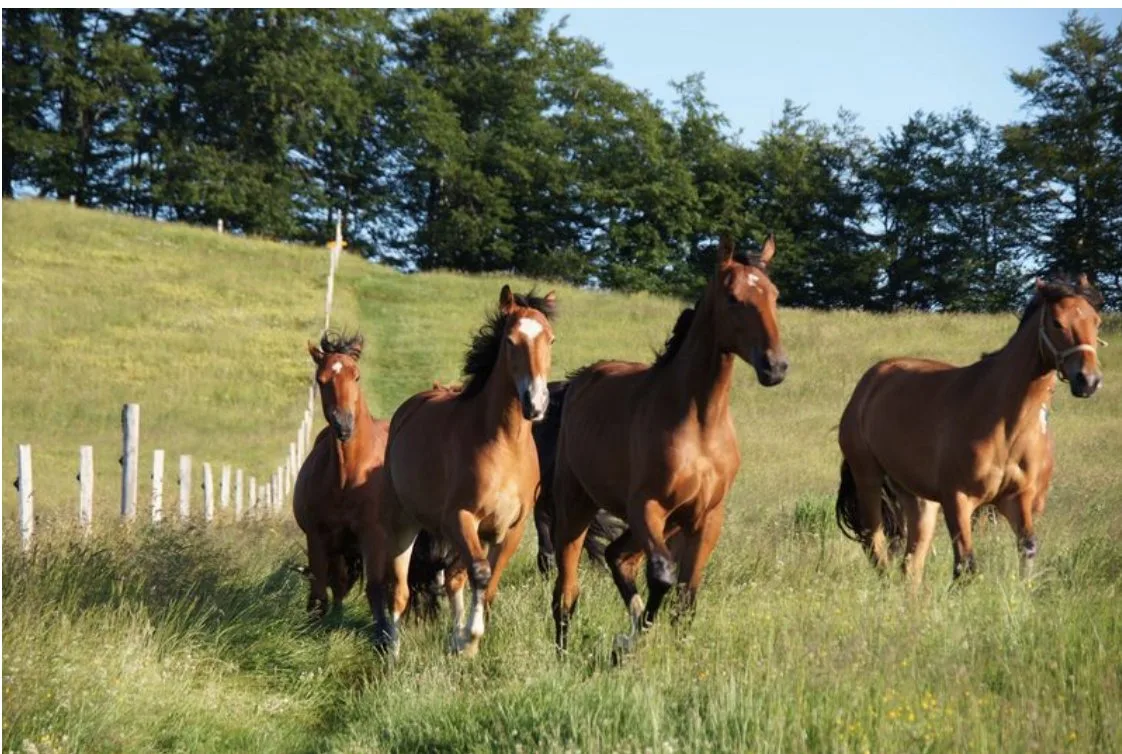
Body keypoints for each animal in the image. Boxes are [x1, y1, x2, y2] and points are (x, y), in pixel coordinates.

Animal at [365, 285, 556, 657]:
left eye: (551, 339)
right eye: (510, 341)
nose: (536, 403)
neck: (504, 444)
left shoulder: (510, 529)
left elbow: (488, 580)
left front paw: (463, 642)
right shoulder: (461, 518)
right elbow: (480, 574)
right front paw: (470, 640)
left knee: (453, 578)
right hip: (403, 525)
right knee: (400, 590)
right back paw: (393, 650)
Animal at [550, 234, 787, 653]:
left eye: (774, 295)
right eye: (733, 298)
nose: (774, 367)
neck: (700, 423)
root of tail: (578, 380)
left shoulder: (706, 518)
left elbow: (687, 593)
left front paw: (665, 646)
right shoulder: (648, 507)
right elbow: (662, 575)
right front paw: (628, 645)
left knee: (617, 557)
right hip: (575, 506)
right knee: (567, 590)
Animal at [835, 275, 1104, 583]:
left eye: (1096, 321)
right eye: (1058, 323)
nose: (1089, 380)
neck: (1005, 424)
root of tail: (868, 384)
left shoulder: (1016, 499)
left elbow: (1028, 549)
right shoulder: (958, 499)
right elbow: (966, 565)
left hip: (917, 498)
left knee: (911, 564)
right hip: (868, 478)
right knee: (875, 545)